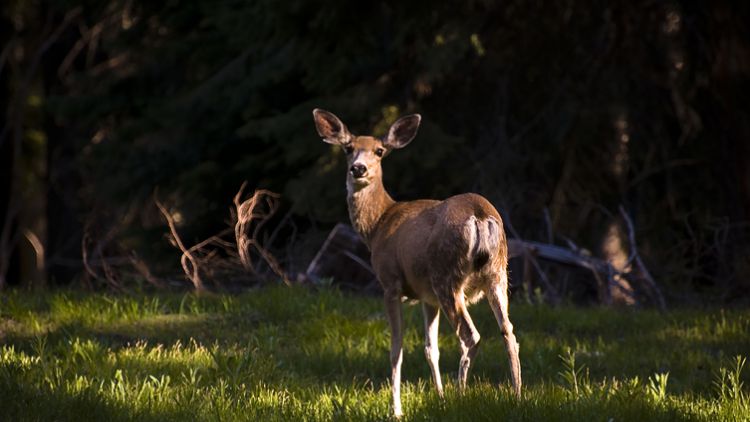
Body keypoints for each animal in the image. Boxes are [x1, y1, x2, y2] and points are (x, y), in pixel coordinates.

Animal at [312, 107, 524, 418]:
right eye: (349, 148)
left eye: (379, 151)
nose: (358, 169)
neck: (378, 225)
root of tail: (480, 215)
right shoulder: (427, 297)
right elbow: (430, 348)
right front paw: (439, 397)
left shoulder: (390, 283)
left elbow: (396, 349)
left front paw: (396, 409)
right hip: (496, 274)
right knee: (509, 332)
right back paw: (517, 396)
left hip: (446, 275)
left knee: (470, 335)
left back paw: (461, 394)